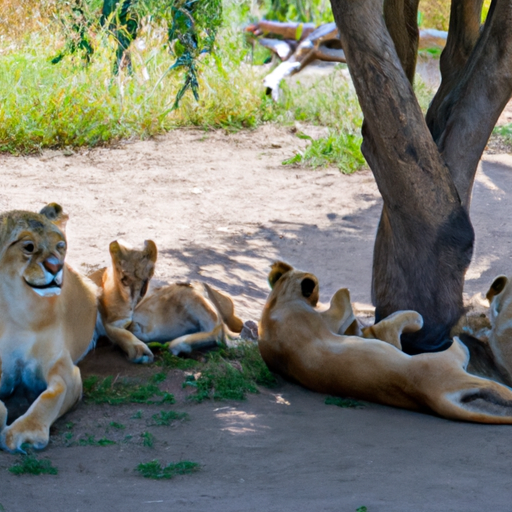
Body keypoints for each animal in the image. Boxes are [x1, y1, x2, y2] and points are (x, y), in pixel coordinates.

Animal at [0, 204, 97, 452]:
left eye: (60, 246)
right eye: (28, 247)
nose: (56, 266)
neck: (22, 313)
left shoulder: (66, 370)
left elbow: (52, 395)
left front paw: (24, 432)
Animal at [260, 262, 512, 422]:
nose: (315, 295)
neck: (277, 302)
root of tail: (428, 395)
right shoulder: (325, 318)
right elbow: (342, 299)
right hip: (453, 365)